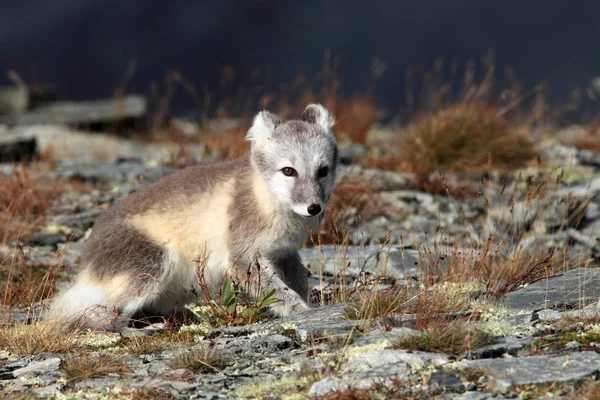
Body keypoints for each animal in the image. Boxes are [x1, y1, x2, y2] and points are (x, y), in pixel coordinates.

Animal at [48, 103, 338, 332]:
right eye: (288, 171)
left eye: (323, 171)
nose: (314, 208)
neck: (267, 197)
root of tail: (87, 262)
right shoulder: (243, 256)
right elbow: (278, 292)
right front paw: (303, 311)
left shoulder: (284, 251)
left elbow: (298, 279)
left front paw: (306, 302)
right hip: (150, 264)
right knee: (96, 318)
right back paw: (139, 330)